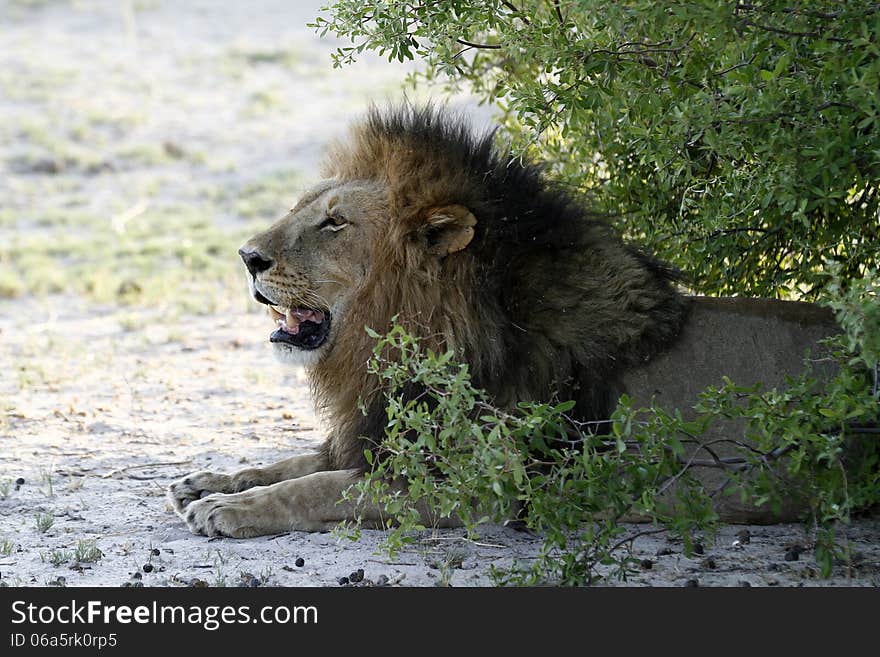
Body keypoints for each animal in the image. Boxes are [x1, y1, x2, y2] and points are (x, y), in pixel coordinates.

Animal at [165, 105, 688, 536]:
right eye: (299, 207)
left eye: (335, 223)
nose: (247, 257)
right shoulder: (373, 434)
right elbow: (296, 464)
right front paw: (211, 482)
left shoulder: (475, 486)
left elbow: (323, 486)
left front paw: (228, 508)